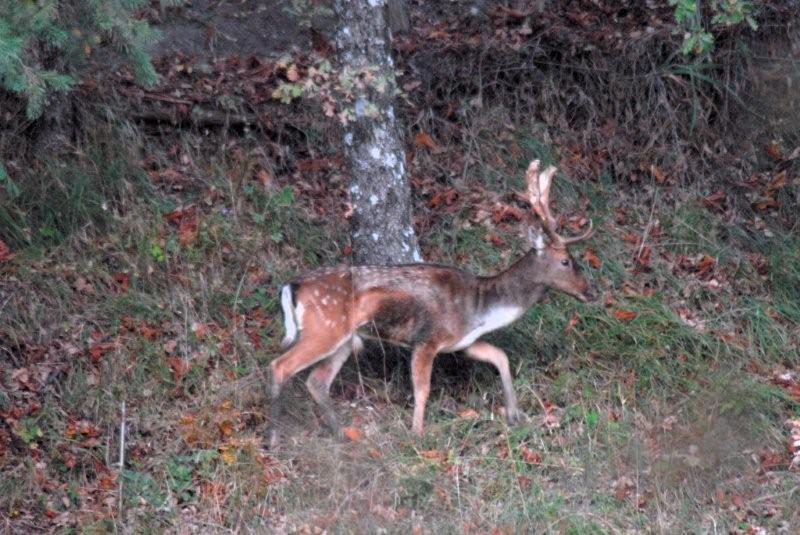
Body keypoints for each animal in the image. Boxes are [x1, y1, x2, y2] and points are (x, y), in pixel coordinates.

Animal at [268, 160, 592, 448]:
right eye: (566, 261)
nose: (590, 291)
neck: (480, 307)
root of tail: (290, 286)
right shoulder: (427, 339)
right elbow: (422, 388)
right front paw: (418, 435)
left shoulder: (463, 342)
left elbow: (500, 356)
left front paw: (515, 414)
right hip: (325, 327)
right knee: (280, 366)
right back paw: (274, 439)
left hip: (344, 339)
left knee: (316, 382)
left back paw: (341, 435)